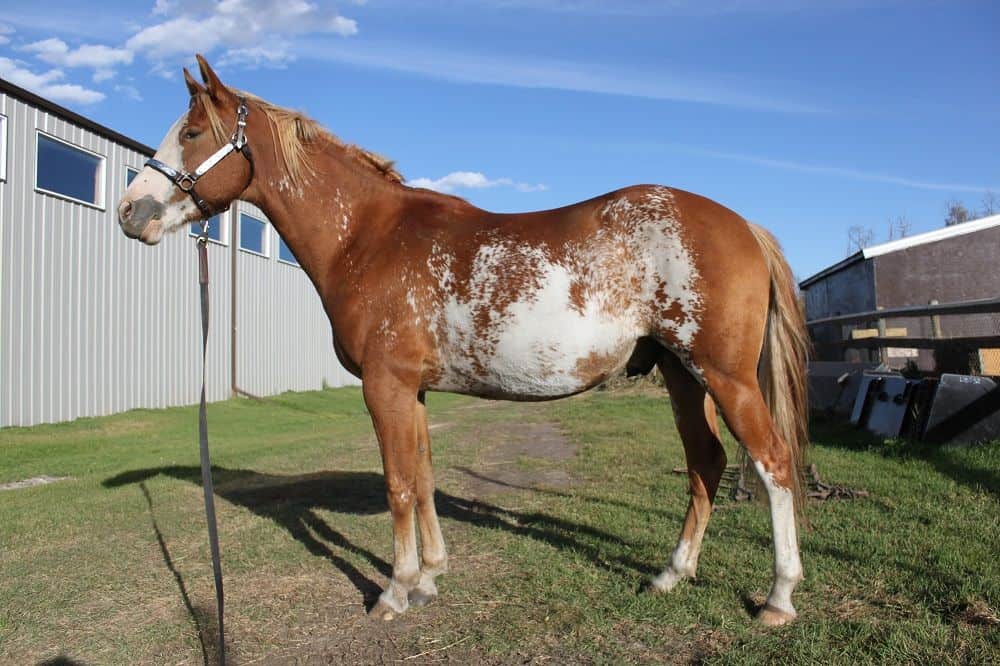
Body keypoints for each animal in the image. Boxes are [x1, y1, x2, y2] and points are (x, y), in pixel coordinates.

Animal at [121, 54, 812, 624]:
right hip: (680, 375)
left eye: (190, 133)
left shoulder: (385, 387)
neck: (367, 236)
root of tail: (743, 225)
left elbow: (398, 485)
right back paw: (671, 574)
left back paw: (778, 599)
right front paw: (429, 577)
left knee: (772, 463)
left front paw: (394, 591)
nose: (132, 212)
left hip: (723, 375)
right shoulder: (414, 391)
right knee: (707, 463)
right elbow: (423, 477)